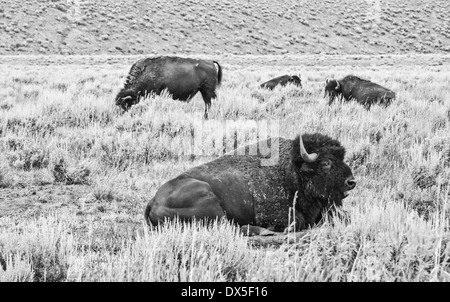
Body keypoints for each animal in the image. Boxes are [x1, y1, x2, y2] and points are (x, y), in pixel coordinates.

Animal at [144, 133, 356, 236]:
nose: (351, 182)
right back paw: (263, 232)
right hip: (207, 197)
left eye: (341, 158)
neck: (292, 172)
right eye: (325, 163)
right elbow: (299, 221)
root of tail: (153, 200)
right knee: (227, 225)